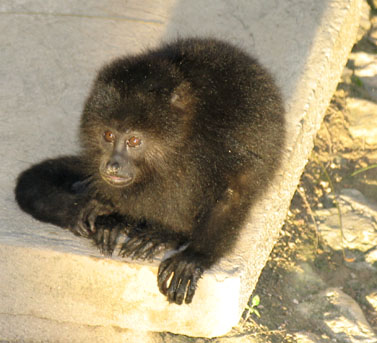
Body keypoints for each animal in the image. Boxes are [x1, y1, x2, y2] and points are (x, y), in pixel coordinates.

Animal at [14, 37, 284, 306]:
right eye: (108, 135)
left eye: (133, 141)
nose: (112, 164)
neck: (184, 137)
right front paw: (100, 213)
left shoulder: (231, 136)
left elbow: (235, 191)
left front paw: (194, 256)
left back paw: (163, 235)